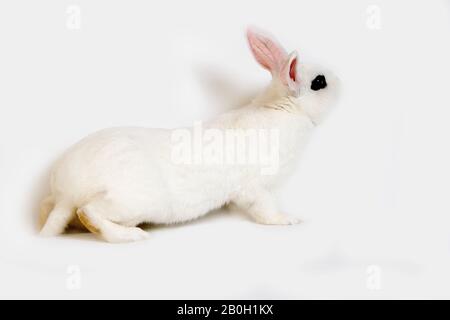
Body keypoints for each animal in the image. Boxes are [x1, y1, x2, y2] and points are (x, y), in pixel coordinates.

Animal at [40, 28, 340, 242]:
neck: (282, 108)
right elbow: (264, 209)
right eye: (319, 82)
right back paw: (133, 235)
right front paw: (287, 220)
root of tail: (67, 193)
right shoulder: (256, 188)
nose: (341, 82)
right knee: (89, 213)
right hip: (130, 201)